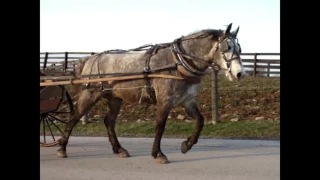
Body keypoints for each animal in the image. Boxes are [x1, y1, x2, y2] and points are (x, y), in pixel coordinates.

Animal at [56, 22, 245, 163]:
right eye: (227, 46)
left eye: (240, 48)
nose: (239, 74)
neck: (178, 63)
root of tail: (91, 58)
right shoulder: (164, 101)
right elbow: (160, 127)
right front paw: (158, 154)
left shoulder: (187, 101)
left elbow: (200, 121)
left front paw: (187, 145)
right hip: (89, 95)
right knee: (74, 118)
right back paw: (62, 148)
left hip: (114, 98)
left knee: (109, 121)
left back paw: (119, 149)